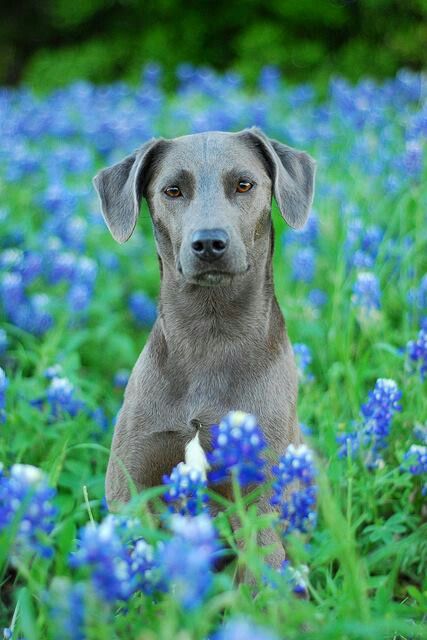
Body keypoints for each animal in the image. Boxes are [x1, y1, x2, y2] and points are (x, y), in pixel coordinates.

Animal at [93, 127, 318, 568]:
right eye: (172, 190)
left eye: (245, 184)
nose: (210, 242)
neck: (209, 335)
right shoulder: (131, 484)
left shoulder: (258, 496)